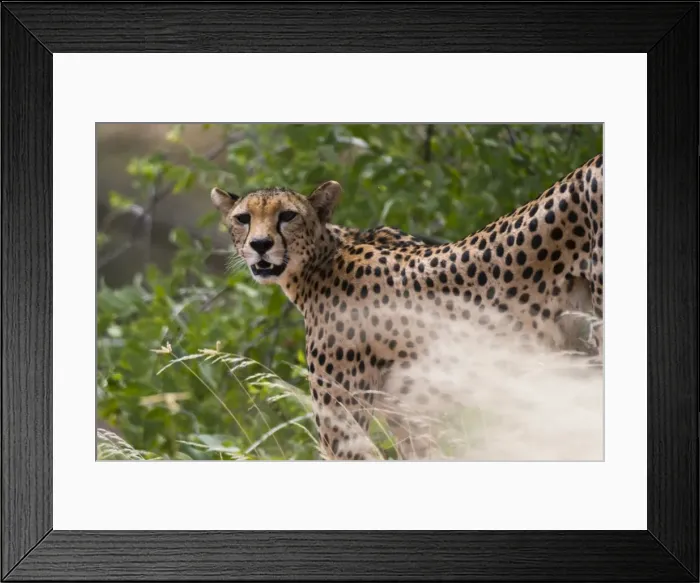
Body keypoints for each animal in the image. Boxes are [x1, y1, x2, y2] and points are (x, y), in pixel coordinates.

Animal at [210, 154, 604, 460]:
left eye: (288, 216)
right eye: (243, 218)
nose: (260, 245)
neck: (320, 262)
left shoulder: (342, 432)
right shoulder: (413, 422)